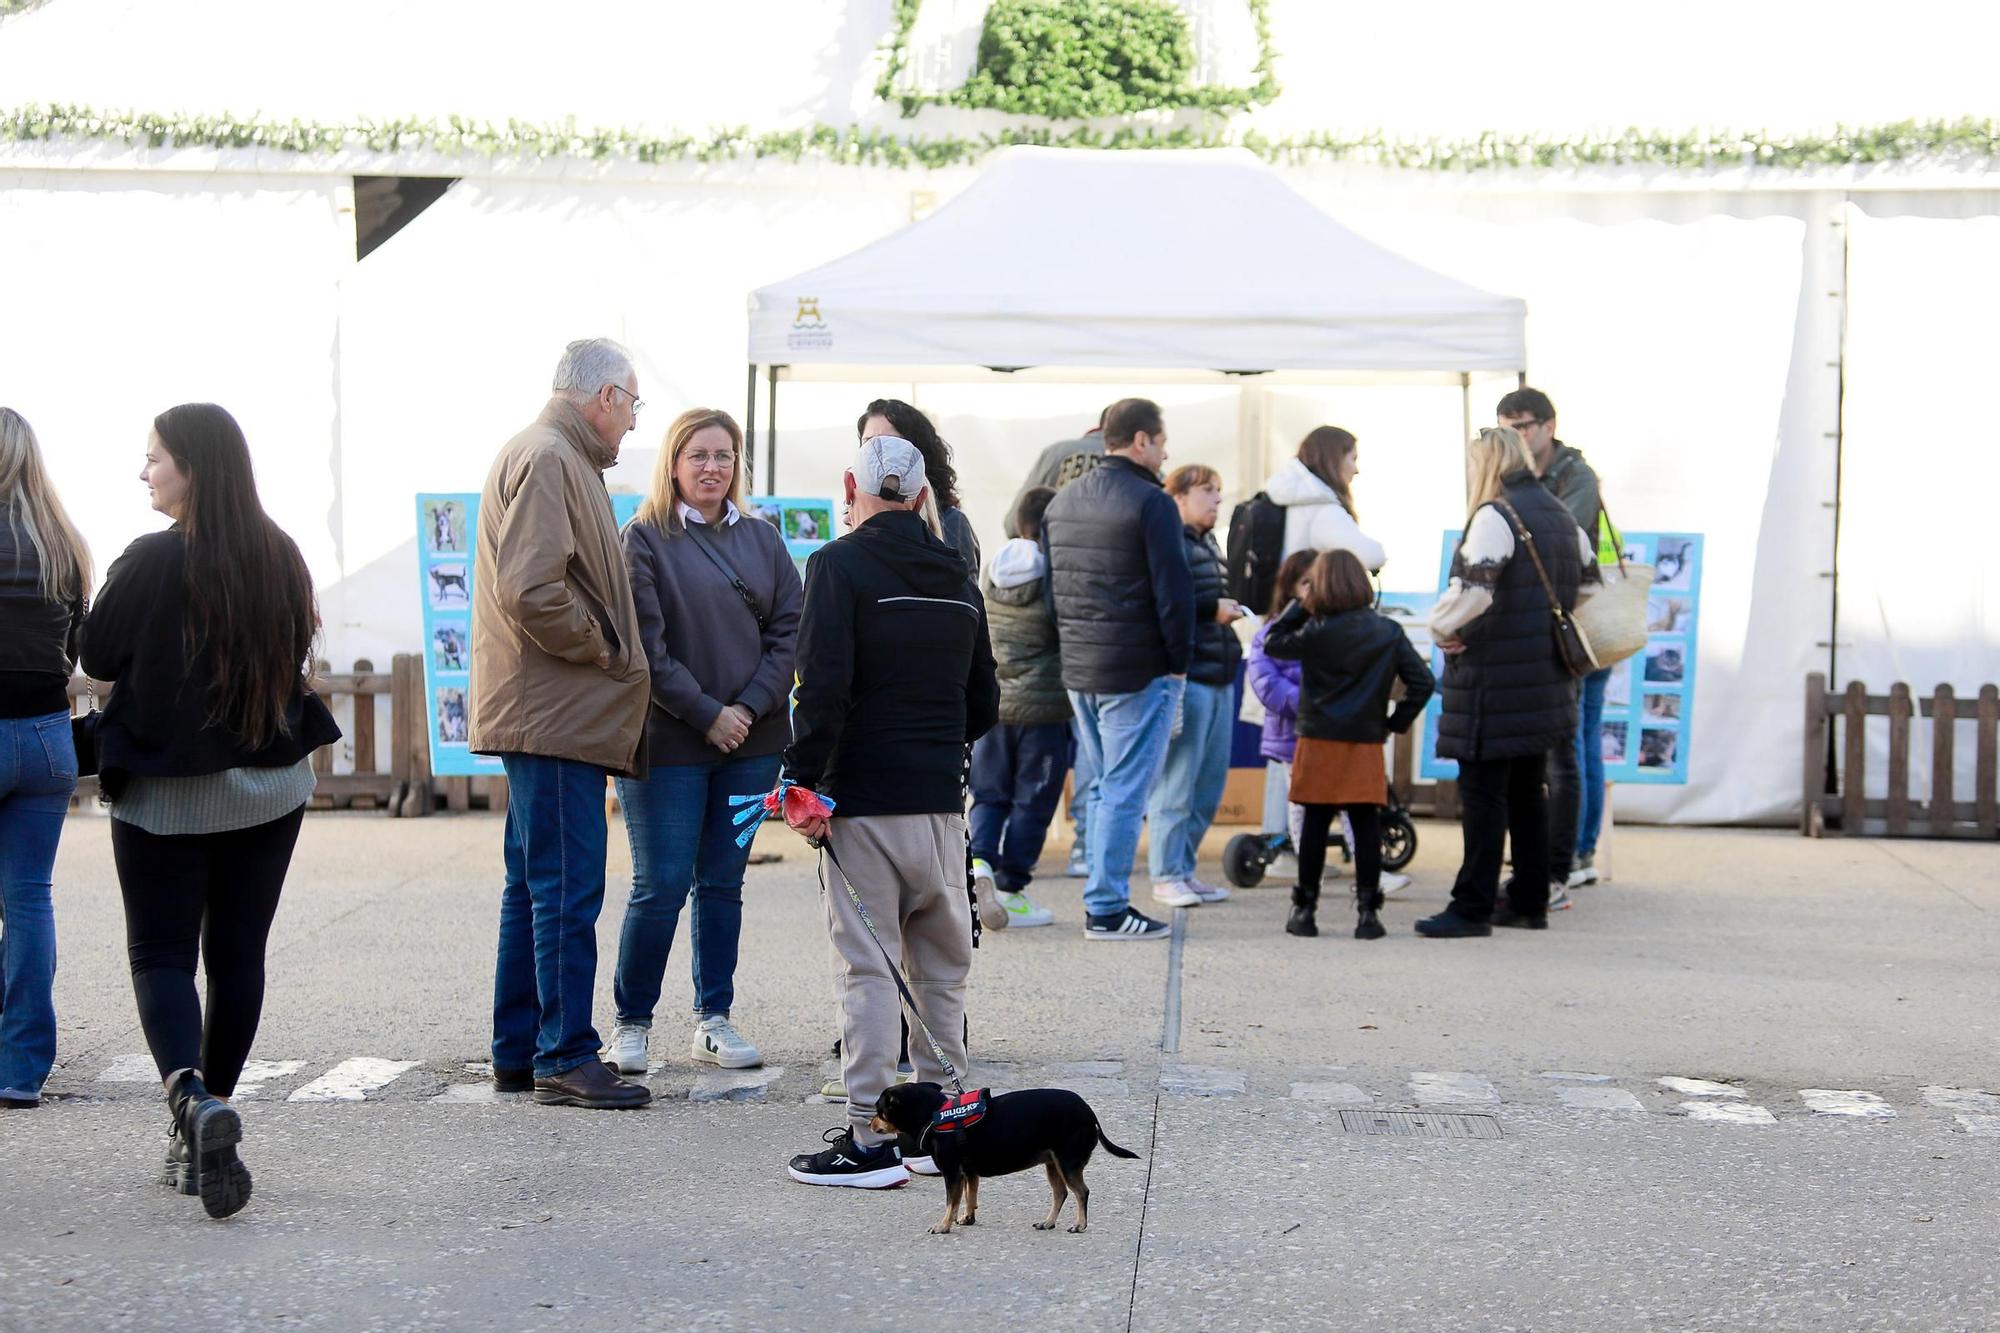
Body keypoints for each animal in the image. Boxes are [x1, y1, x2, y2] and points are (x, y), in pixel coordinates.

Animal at [876, 1072, 1144, 1232]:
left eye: (879, 1111)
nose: (870, 1123)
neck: (934, 1114)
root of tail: (1089, 1112)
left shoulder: (952, 1173)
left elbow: (951, 1201)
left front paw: (943, 1226)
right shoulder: (969, 1173)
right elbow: (970, 1197)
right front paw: (967, 1219)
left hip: (1067, 1162)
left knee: (1081, 1192)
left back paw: (1079, 1225)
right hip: (1053, 1164)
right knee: (1061, 1193)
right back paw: (1048, 1222)